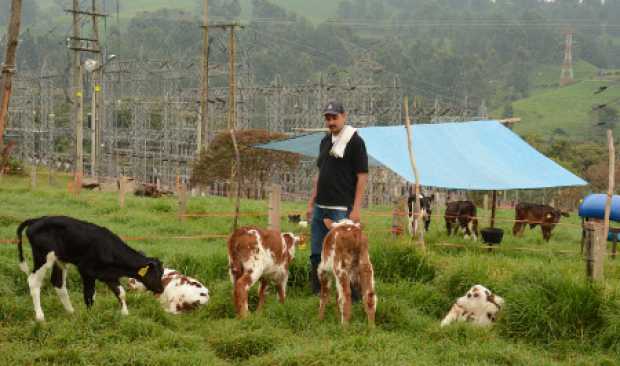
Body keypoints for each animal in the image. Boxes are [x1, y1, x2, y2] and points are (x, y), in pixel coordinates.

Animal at [17, 216, 165, 322]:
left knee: (58, 283)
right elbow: (89, 295)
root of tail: (37, 219)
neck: (108, 248)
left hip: (60, 260)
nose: (161, 289)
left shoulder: (108, 275)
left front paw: (125, 314)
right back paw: (40, 316)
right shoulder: (86, 271)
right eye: (155, 273)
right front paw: (90, 316)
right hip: (43, 257)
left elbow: (121, 292)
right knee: (33, 281)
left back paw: (71, 311)